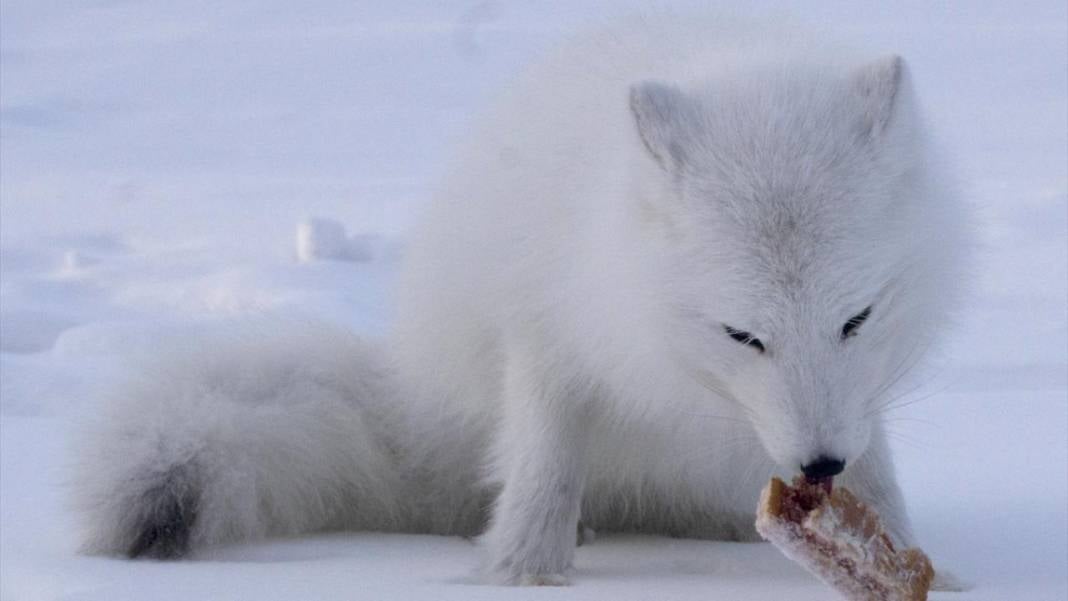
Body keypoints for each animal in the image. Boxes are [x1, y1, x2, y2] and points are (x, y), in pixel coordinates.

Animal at [68, 15, 969, 589]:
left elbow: (882, 478)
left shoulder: (859, 405)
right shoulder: (545, 331)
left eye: (856, 319)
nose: (818, 465)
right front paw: (524, 573)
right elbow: (545, 465)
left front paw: (922, 565)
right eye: (742, 335)